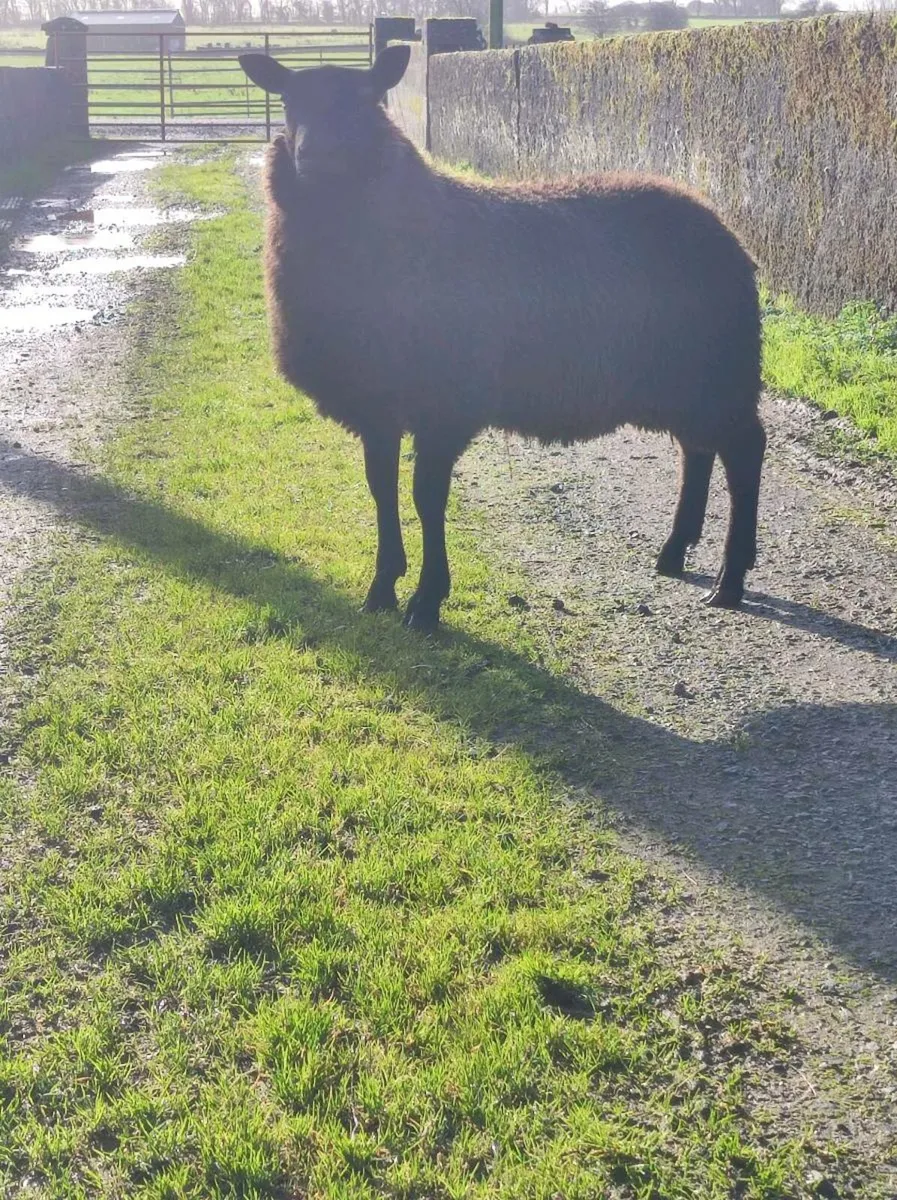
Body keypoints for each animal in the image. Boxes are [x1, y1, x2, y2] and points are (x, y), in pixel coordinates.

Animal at [239, 45, 766, 632]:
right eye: (289, 101)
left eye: (366, 100)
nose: (318, 155)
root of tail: (721, 227)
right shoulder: (377, 404)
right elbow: (381, 489)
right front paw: (382, 589)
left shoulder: (444, 402)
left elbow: (426, 497)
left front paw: (426, 602)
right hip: (686, 381)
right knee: (698, 451)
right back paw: (674, 553)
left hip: (717, 370)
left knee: (745, 451)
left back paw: (730, 580)